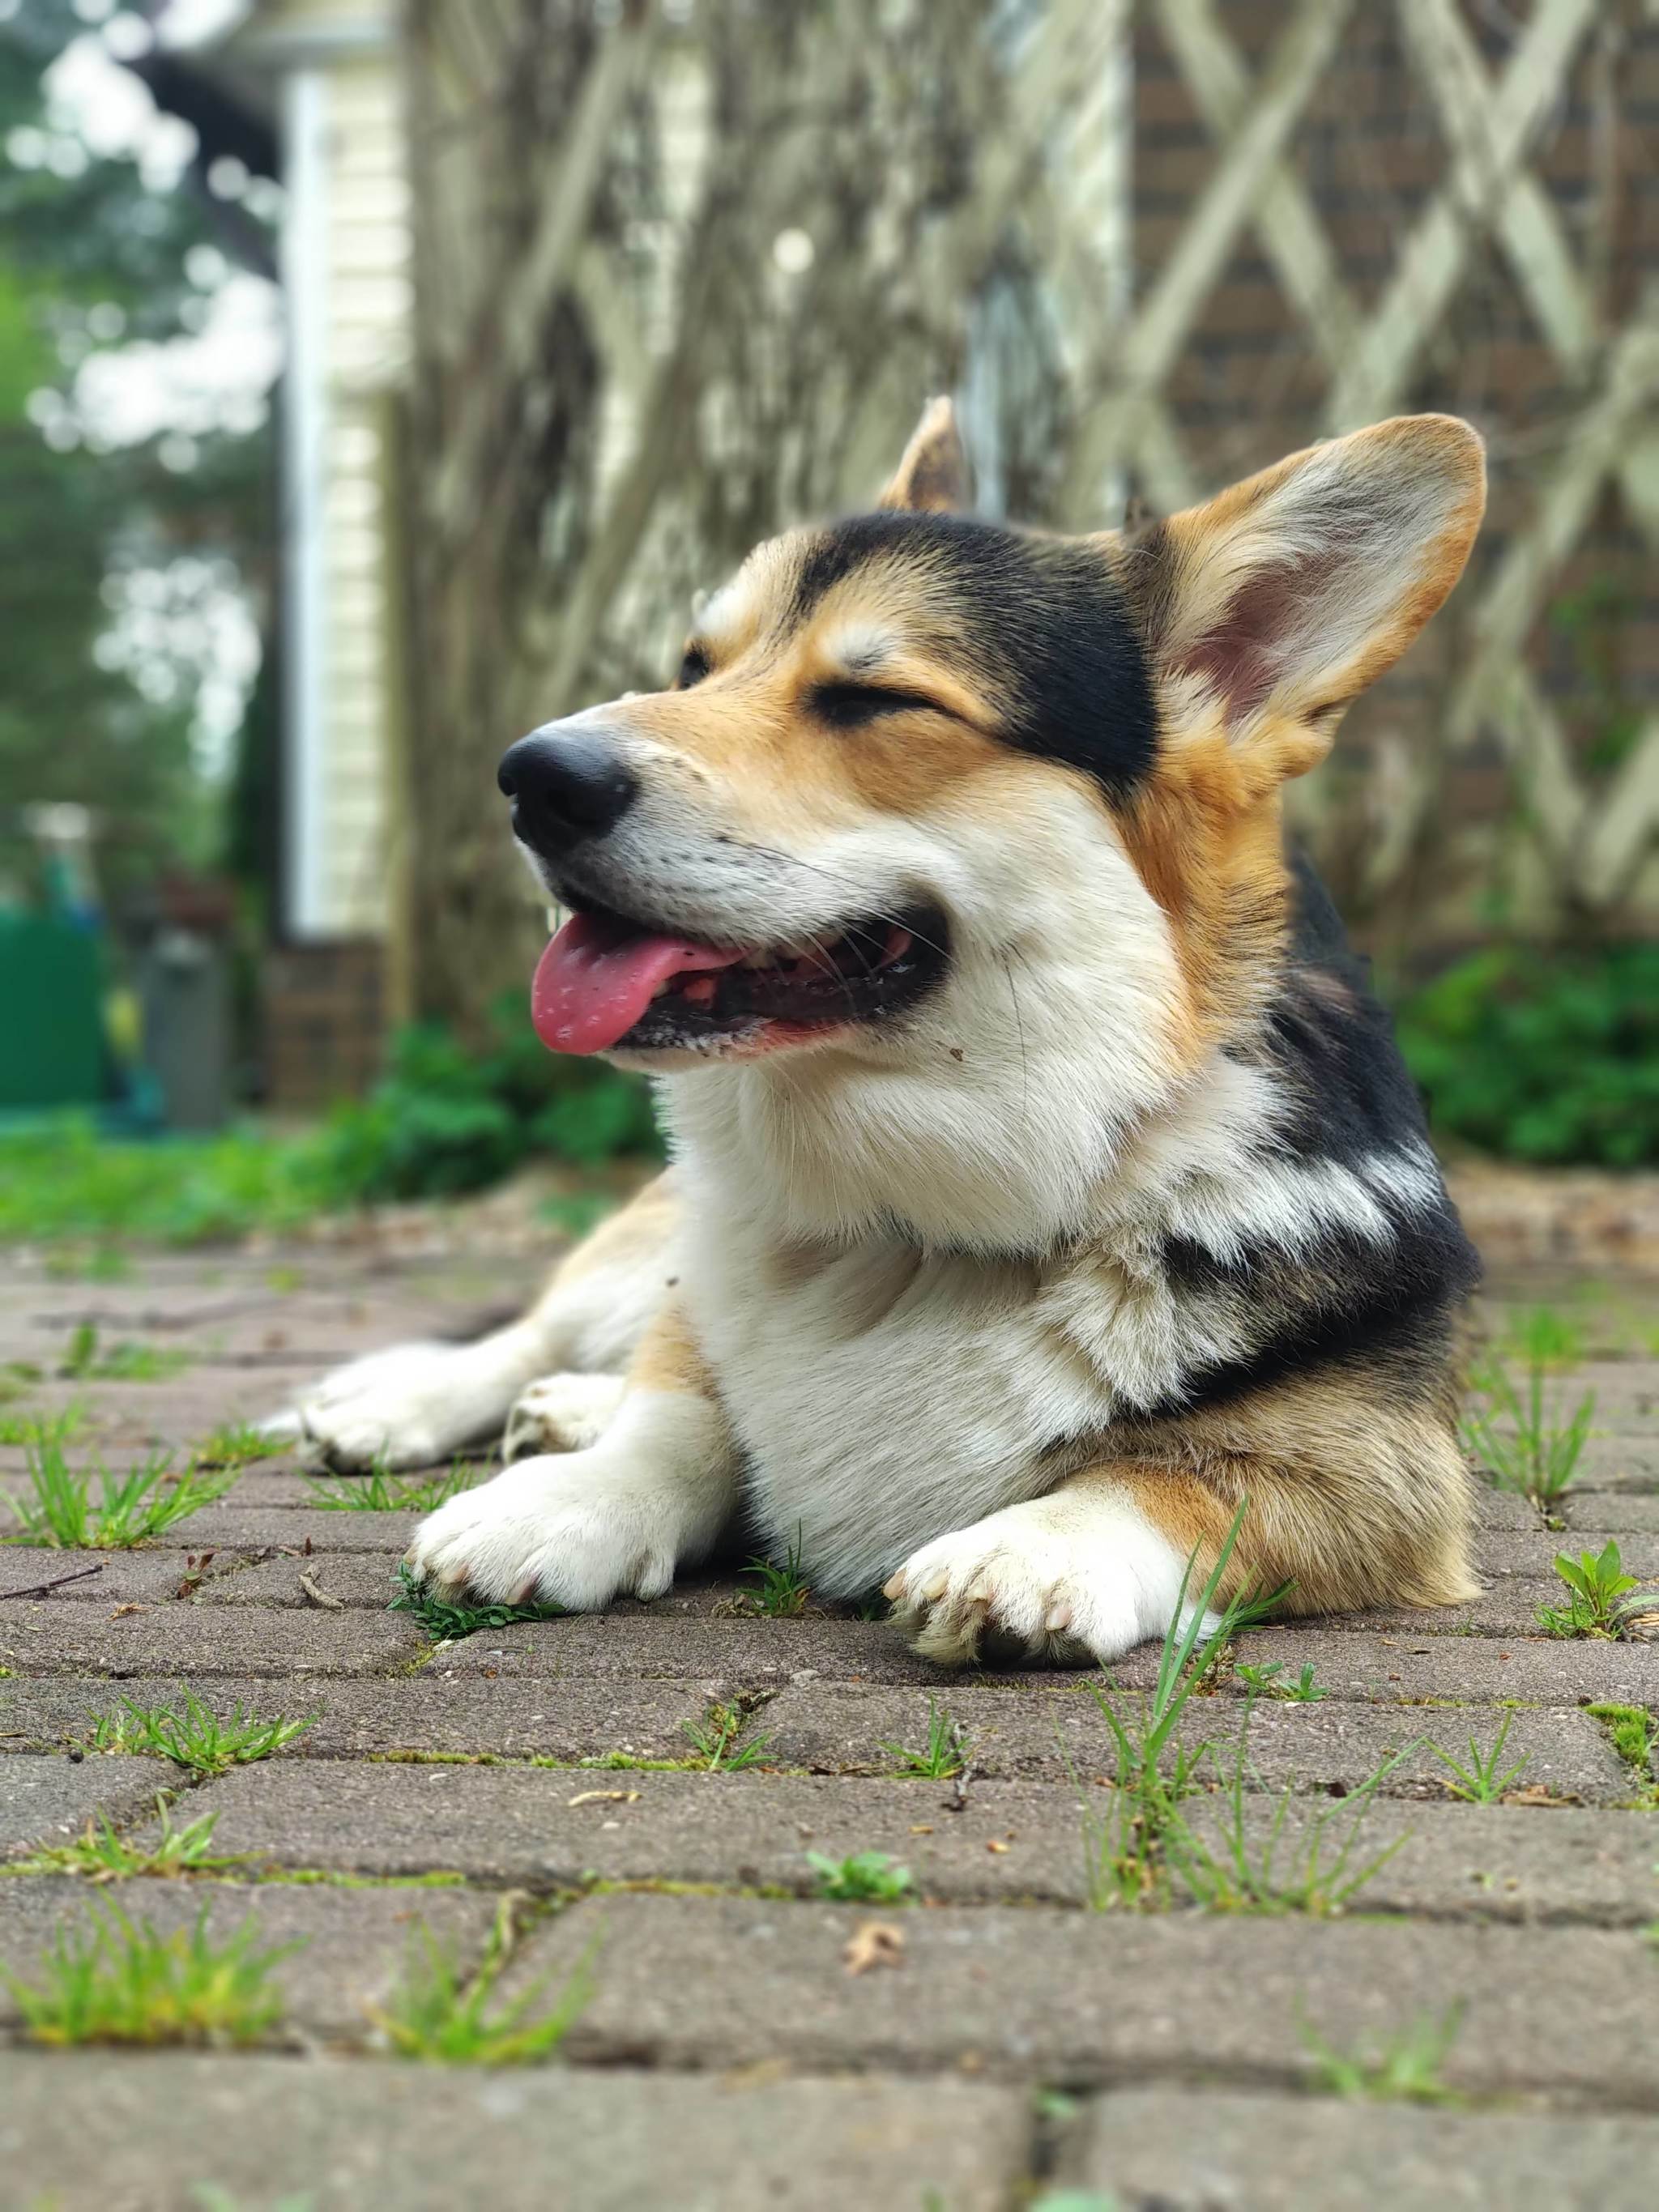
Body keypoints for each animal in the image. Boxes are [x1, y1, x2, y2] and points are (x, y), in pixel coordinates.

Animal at [292, 407, 1486, 1663]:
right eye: (693, 667)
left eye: (877, 701)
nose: (530, 779)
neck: (908, 1222)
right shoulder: (702, 1322)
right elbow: (674, 1415)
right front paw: (566, 1500)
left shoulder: (1386, 1467)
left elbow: (1166, 1480)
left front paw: (1031, 1550)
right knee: (534, 1331)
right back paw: (405, 1408)